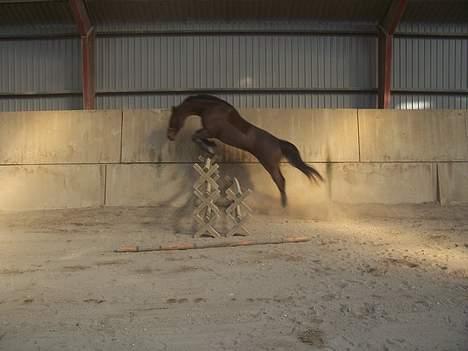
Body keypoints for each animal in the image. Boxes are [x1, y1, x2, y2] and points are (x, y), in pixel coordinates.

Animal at [166, 95, 324, 208]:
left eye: (173, 119)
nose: (170, 136)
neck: (211, 109)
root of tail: (278, 143)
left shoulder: (210, 131)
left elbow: (195, 136)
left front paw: (209, 148)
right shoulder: (209, 132)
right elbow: (199, 137)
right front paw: (211, 147)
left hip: (269, 164)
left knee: (280, 180)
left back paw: (284, 204)